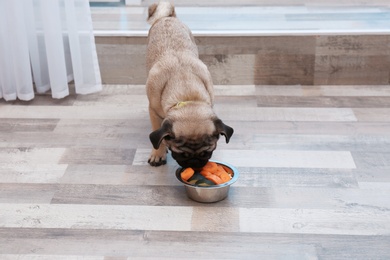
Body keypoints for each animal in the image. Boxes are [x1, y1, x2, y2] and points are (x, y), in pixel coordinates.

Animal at [145, 1, 232, 169]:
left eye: (207, 153)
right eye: (180, 153)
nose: (194, 162)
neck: (187, 94)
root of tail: (167, 17)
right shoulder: (153, 112)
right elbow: (157, 136)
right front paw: (158, 153)